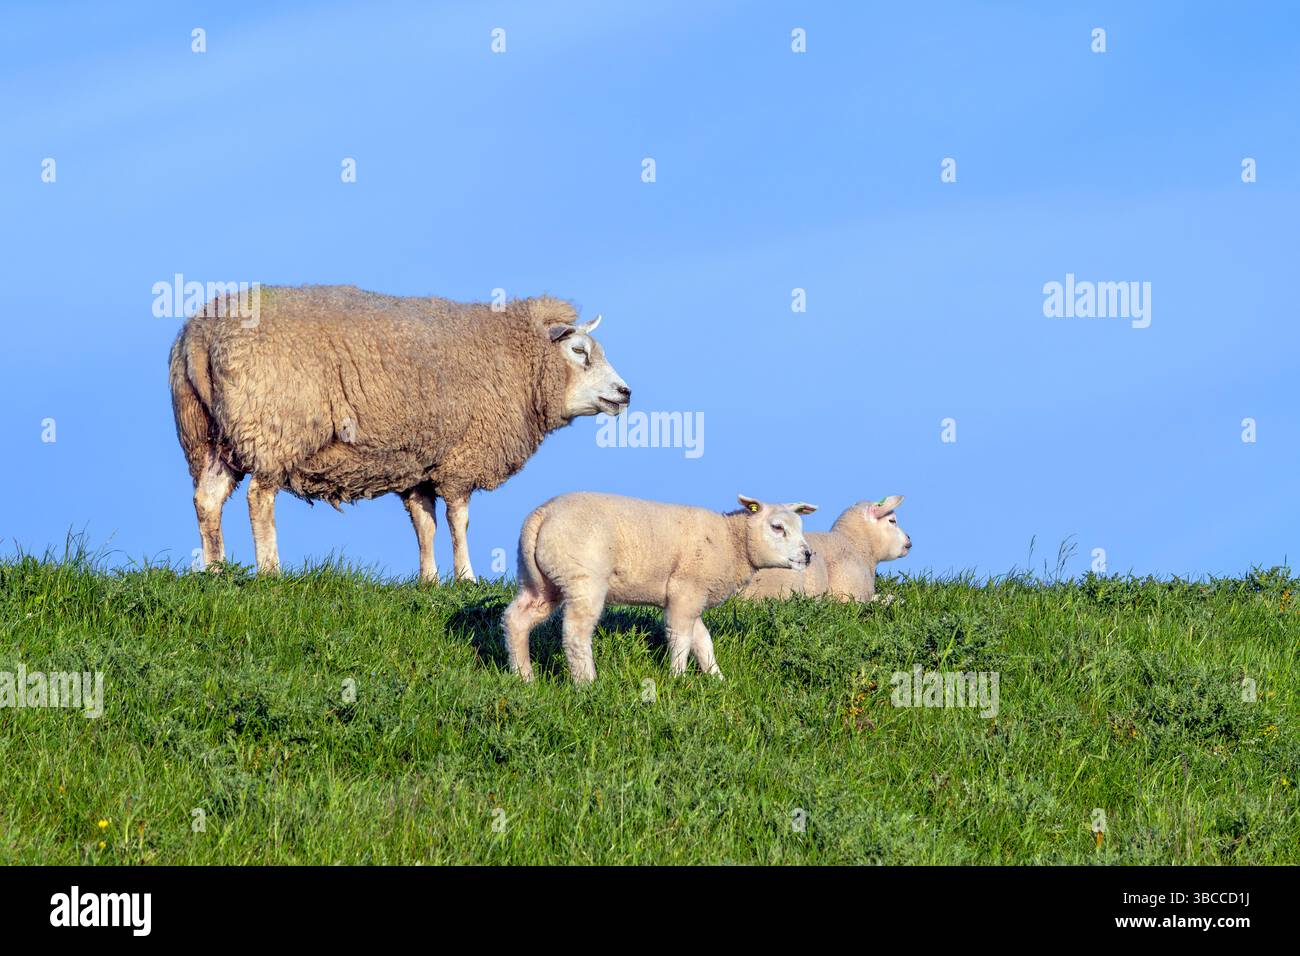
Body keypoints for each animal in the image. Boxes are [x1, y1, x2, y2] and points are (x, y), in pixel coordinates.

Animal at [169, 285, 630, 580]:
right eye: (579, 351)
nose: (625, 393)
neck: (515, 363)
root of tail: (200, 337)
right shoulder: (460, 458)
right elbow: (458, 520)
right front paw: (466, 577)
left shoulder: (419, 467)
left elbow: (424, 524)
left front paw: (429, 581)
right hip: (272, 429)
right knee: (259, 499)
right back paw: (270, 569)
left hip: (210, 437)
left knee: (207, 500)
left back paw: (215, 569)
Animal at [503, 493, 817, 684]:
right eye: (777, 527)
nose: (808, 555)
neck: (731, 541)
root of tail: (542, 515)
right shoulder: (686, 589)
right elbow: (682, 639)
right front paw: (678, 677)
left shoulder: (690, 597)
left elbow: (703, 640)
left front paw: (717, 678)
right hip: (584, 578)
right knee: (575, 634)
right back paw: (587, 683)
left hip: (541, 581)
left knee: (517, 619)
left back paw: (524, 677)